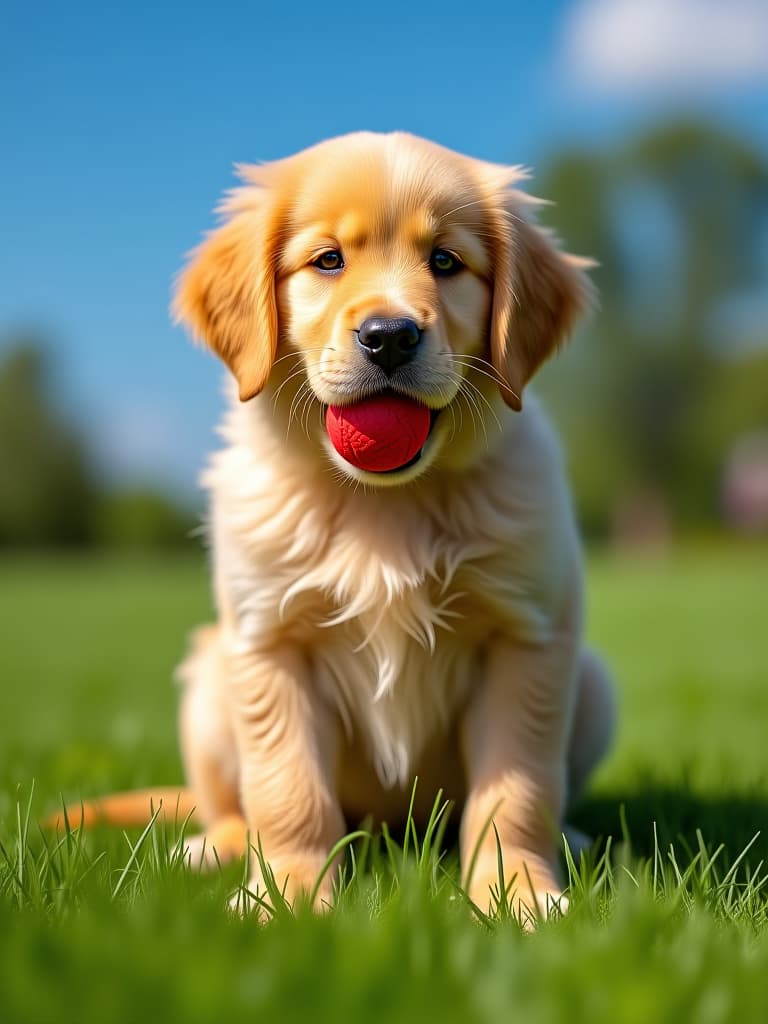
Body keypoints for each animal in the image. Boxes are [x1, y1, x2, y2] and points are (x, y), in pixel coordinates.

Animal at [173, 130, 614, 921]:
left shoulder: (526, 637)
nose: (389, 336)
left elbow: (517, 790)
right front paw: (286, 898)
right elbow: (286, 790)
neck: (385, 502)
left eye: (445, 261)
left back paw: (575, 839)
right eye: (328, 261)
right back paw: (212, 847)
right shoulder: (269, 641)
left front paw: (518, 894)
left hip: (592, 683)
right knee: (231, 805)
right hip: (210, 681)